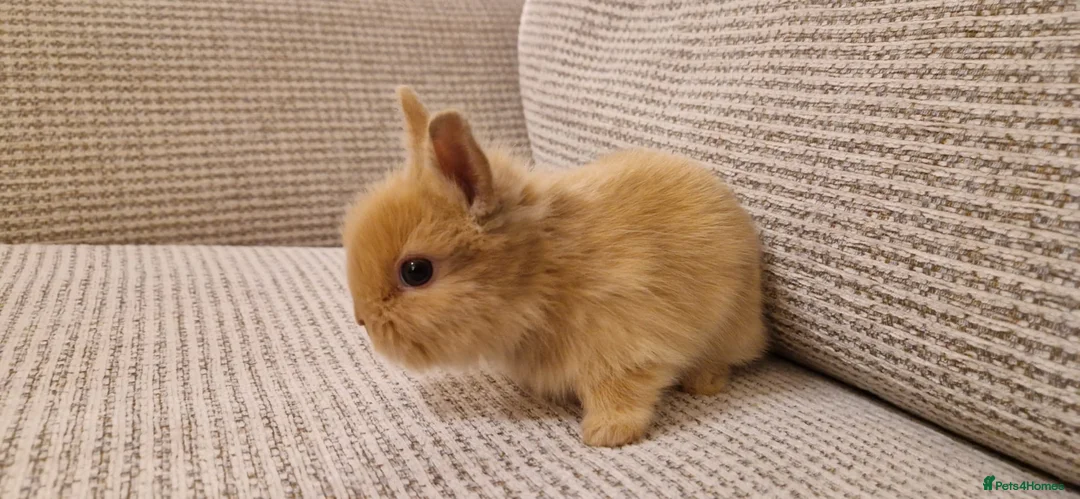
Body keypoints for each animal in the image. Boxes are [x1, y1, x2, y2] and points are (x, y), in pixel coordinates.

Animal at [342, 86, 768, 447]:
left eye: (415, 271)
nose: (362, 320)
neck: (546, 273)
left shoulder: (625, 341)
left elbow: (621, 389)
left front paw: (605, 434)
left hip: (729, 325)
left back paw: (703, 383)